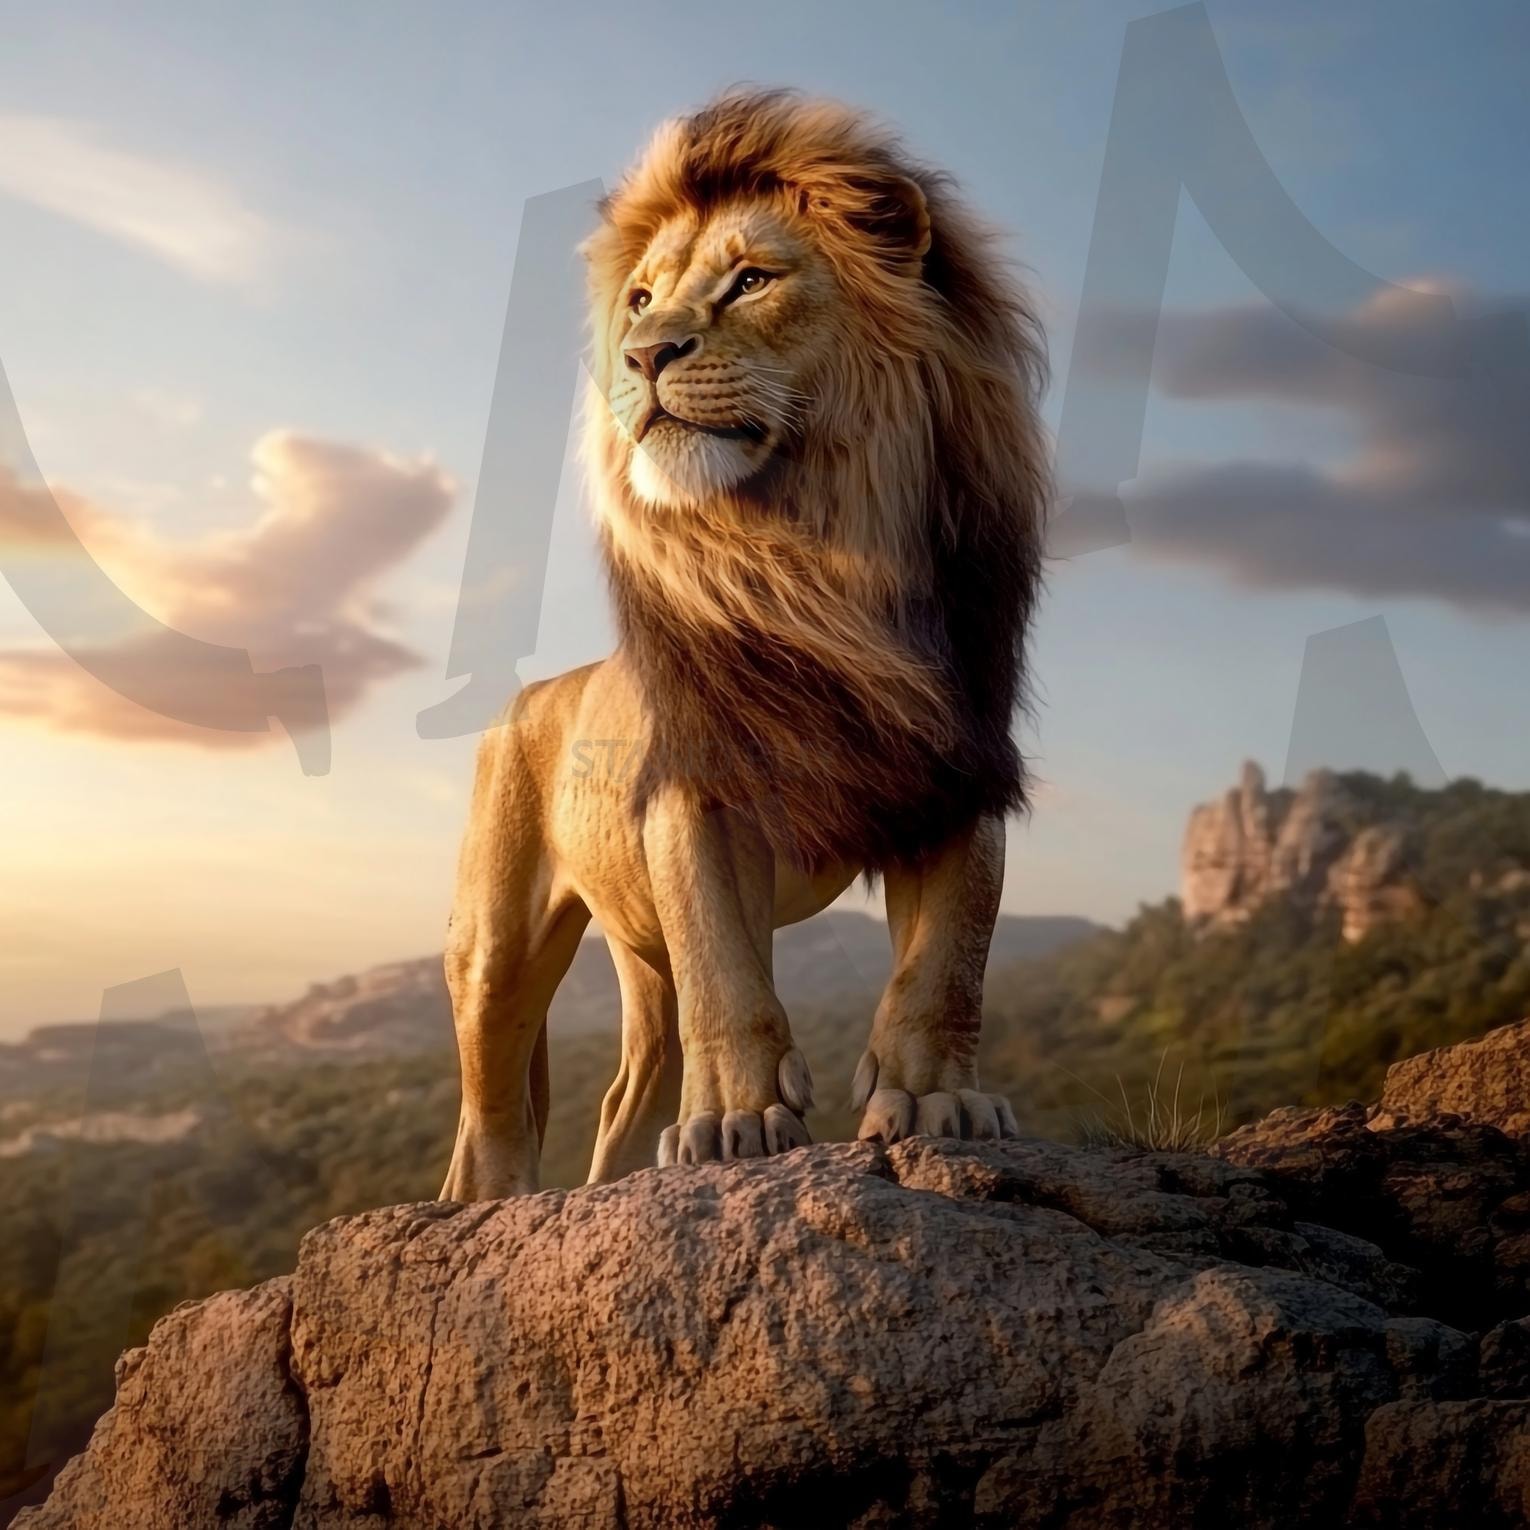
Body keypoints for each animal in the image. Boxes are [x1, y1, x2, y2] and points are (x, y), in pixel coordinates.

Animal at [440, 89, 1048, 1199]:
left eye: (752, 280)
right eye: (641, 299)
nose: (643, 356)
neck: (815, 560)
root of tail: (530, 696)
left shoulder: (960, 771)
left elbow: (949, 959)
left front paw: (935, 1102)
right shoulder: (698, 790)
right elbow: (727, 972)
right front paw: (735, 1123)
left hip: (637, 959)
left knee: (622, 1095)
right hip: (494, 942)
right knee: (493, 1104)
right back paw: (503, 1205)